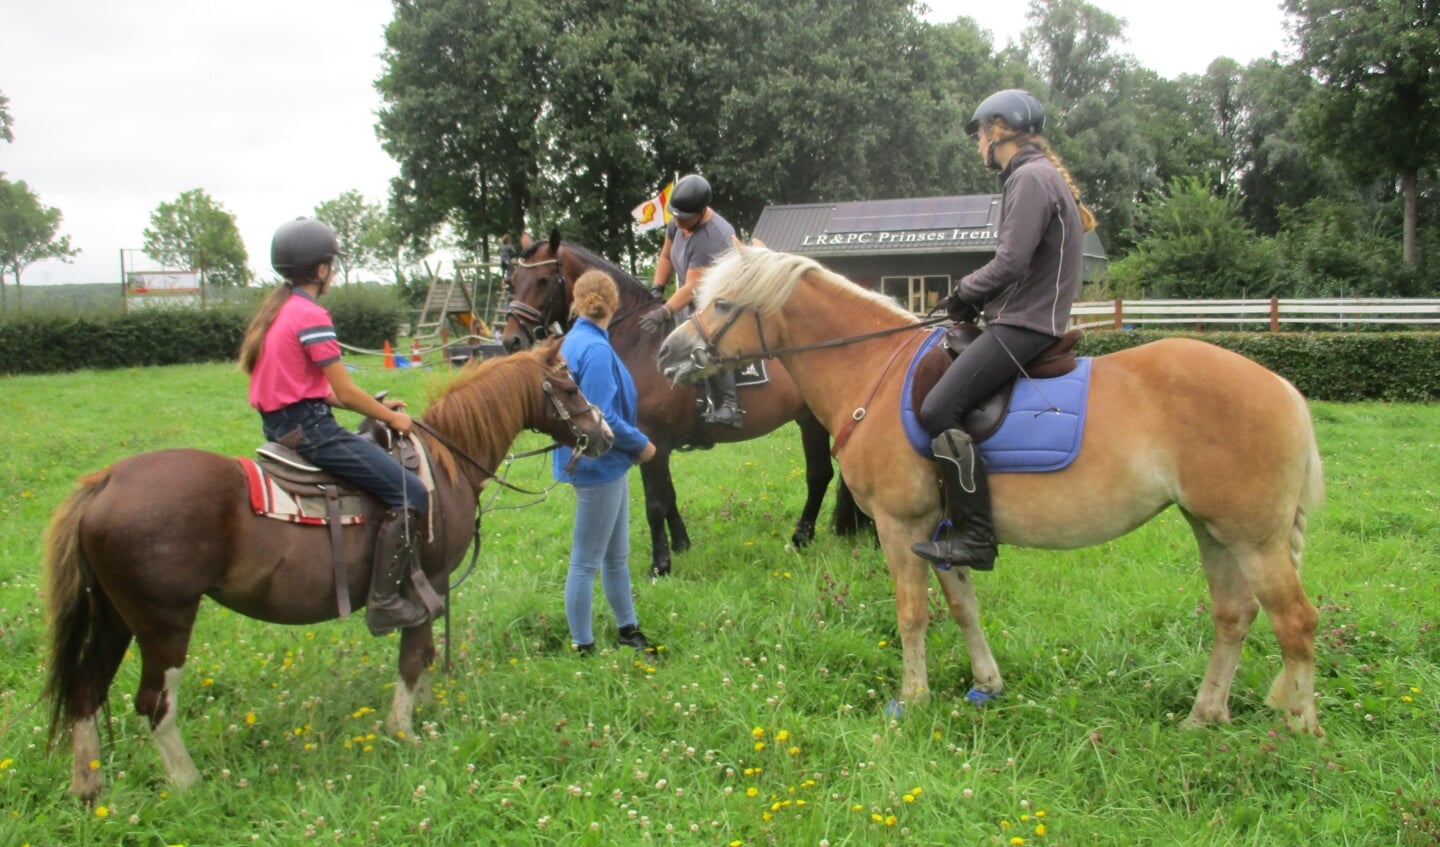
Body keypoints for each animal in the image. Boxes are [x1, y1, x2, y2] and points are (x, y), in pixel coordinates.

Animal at [40, 341, 613, 795]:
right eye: (569, 386)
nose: (605, 434)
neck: (444, 462)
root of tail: (106, 482)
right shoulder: (423, 578)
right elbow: (414, 653)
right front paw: (404, 729)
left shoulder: (433, 586)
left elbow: (425, 652)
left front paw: (424, 710)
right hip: (164, 624)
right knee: (154, 703)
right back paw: (187, 782)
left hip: (115, 618)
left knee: (86, 689)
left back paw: (87, 786)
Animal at [504, 231, 852, 576]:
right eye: (512, 281)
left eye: (543, 280)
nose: (511, 340)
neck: (639, 343)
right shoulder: (657, 445)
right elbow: (669, 495)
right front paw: (681, 544)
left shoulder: (653, 440)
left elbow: (655, 503)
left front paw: (660, 564)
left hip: (813, 421)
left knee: (819, 474)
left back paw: (802, 536)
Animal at [659, 240, 1319, 734]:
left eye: (722, 302)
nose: (668, 354)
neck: (874, 369)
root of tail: (1283, 387)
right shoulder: (942, 532)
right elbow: (962, 607)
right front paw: (986, 684)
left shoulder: (901, 527)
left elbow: (912, 614)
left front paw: (912, 698)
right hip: (1212, 530)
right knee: (1235, 615)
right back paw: (1204, 715)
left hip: (1254, 540)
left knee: (1297, 623)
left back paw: (1299, 731)